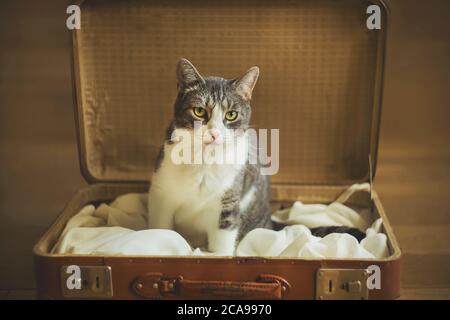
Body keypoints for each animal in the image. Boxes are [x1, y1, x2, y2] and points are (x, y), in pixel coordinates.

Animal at [149, 58, 272, 255]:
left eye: (231, 114)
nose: (214, 133)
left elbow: (224, 235)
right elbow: (161, 227)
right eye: (199, 111)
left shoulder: (228, 199)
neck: (205, 158)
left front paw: (220, 255)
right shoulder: (161, 195)